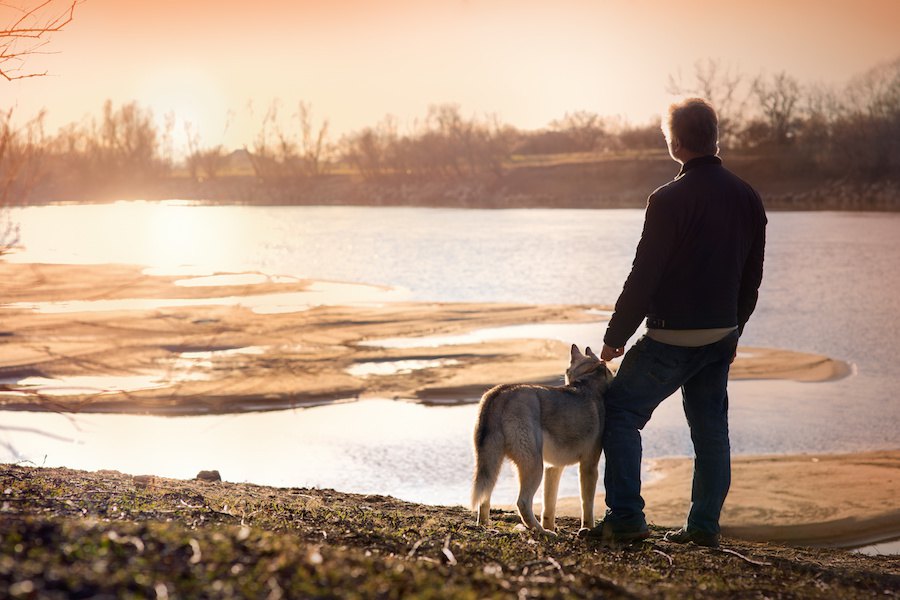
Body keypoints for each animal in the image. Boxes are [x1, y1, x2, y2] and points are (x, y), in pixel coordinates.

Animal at [472, 344, 612, 536]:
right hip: (533, 466)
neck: (588, 382)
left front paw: (551, 526)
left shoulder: (553, 467)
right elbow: (587, 506)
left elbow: (549, 506)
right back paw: (542, 532)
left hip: (492, 465)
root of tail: (501, 391)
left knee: (485, 499)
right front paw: (587, 529)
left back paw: (486, 526)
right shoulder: (589, 466)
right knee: (522, 503)